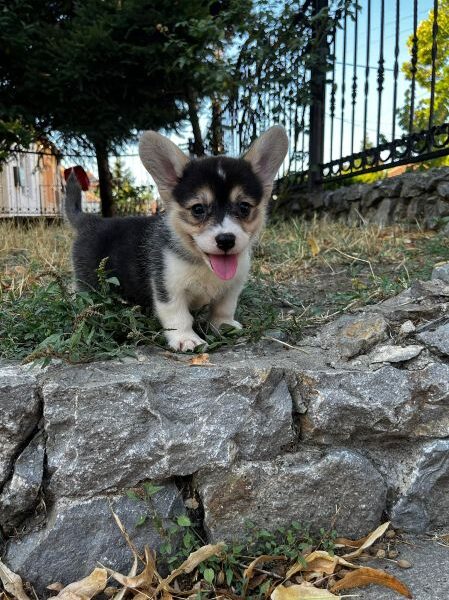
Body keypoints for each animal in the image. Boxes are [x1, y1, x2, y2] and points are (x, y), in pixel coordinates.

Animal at [65, 126, 288, 352]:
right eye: (198, 209)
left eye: (244, 207)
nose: (226, 240)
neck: (203, 265)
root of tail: (89, 220)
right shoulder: (168, 287)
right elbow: (177, 316)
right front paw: (186, 338)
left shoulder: (232, 287)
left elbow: (224, 307)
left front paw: (224, 326)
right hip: (90, 283)